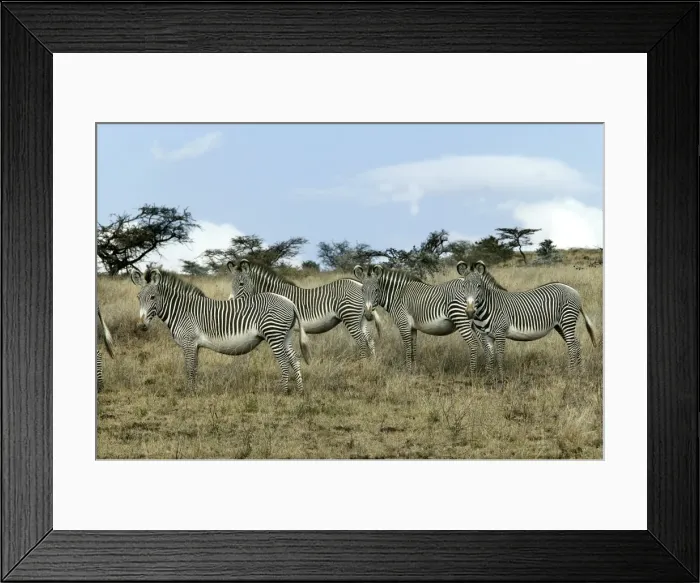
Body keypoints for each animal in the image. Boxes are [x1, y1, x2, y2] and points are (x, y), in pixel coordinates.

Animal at [130, 266, 312, 393]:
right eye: (138, 298)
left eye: (153, 297)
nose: (141, 326)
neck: (182, 310)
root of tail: (289, 302)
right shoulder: (195, 345)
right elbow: (194, 367)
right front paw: (193, 390)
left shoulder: (189, 342)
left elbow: (189, 368)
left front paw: (189, 393)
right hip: (285, 335)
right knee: (294, 359)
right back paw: (300, 391)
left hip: (273, 334)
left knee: (284, 361)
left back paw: (283, 391)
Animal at [227, 259, 383, 360]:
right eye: (231, 284)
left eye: (241, 284)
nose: (232, 303)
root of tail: (359, 284)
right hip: (361, 318)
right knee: (370, 340)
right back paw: (371, 362)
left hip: (350, 317)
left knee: (362, 341)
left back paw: (362, 363)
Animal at [458, 260, 597, 383]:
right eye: (463, 287)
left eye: (479, 286)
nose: (469, 312)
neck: (489, 306)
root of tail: (574, 290)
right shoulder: (485, 335)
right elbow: (490, 357)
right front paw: (490, 378)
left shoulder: (500, 332)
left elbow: (499, 355)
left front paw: (501, 379)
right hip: (560, 325)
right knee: (576, 343)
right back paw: (580, 372)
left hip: (567, 320)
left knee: (572, 345)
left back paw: (571, 373)